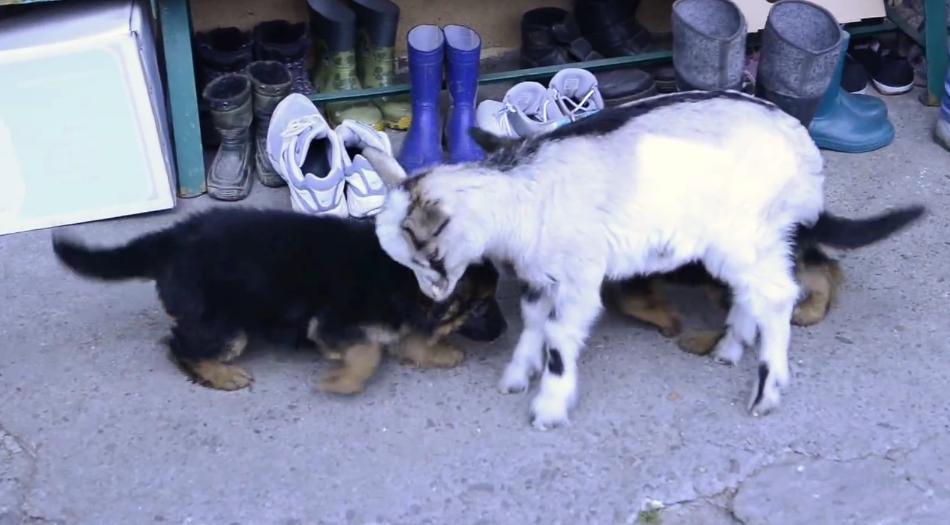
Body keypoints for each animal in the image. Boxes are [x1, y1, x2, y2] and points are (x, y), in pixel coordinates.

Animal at [51, 207, 506, 390]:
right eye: (481, 306)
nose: (504, 330)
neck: (401, 272)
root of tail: (173, 238)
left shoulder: (400, 317)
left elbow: (407, 338)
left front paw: (439, 352)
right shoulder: (334, 324)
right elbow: (367, 353)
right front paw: (344, 382)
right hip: (225, 324)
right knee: (179, 345)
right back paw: (220, 374)